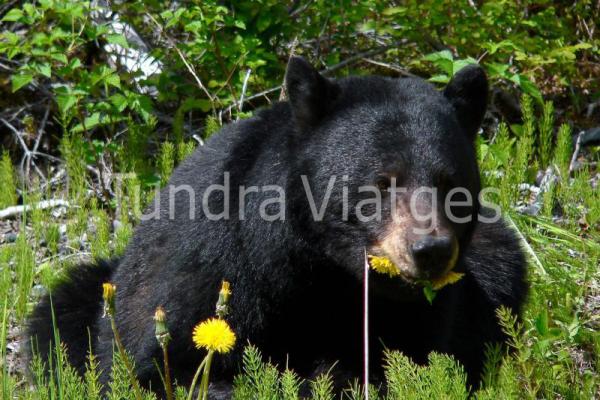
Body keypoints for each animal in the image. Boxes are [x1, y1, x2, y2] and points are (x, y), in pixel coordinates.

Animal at [28, 57, 524, 396]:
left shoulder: (421, 313)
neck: (318, 269)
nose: (430, 250)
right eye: (382, 181)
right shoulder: (212, 268)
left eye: (450, 182)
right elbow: (163, 366)